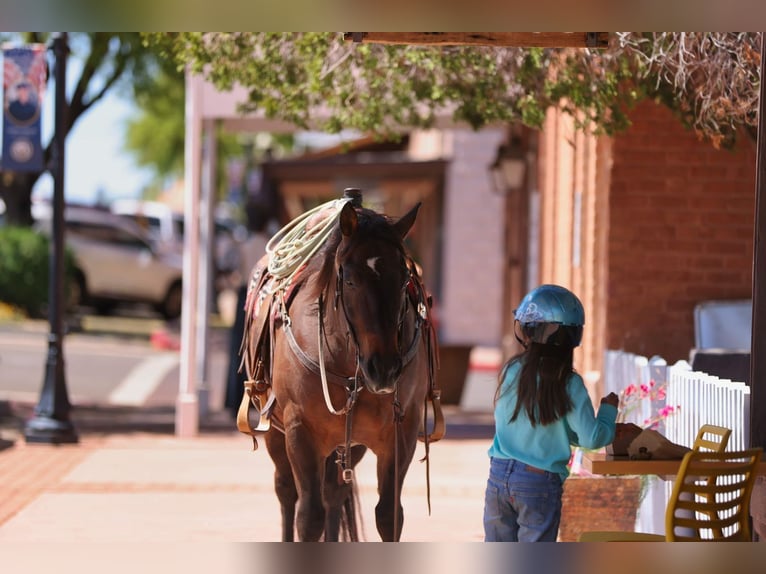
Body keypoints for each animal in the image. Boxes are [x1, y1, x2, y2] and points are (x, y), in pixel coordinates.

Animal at [236, 189, 444, 541]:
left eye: (405, 278)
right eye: (349, 278)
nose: (384, 369)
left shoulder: (400, 431)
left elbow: (388, 515)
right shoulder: (299, 431)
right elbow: (309, 518)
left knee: (334, 493)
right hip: (276, 432)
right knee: (287, 492)